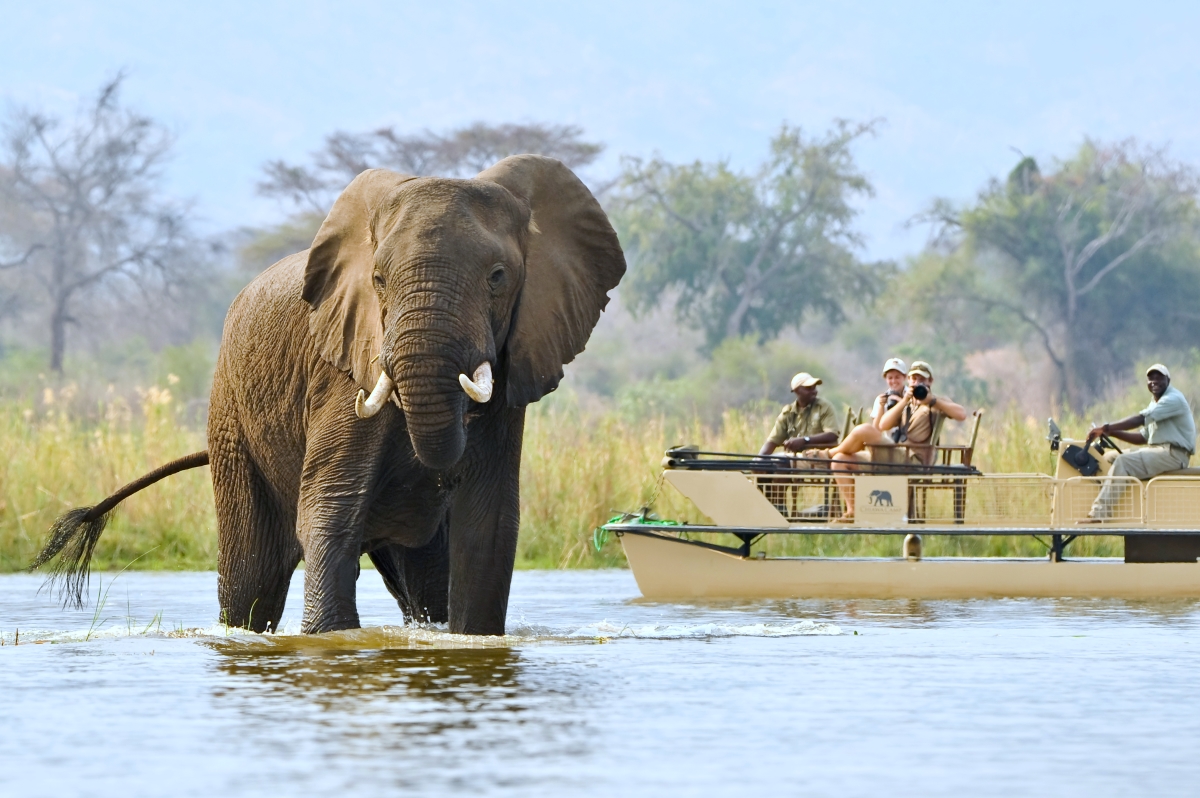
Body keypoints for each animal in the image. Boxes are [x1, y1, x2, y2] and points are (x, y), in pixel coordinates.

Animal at [30, 152, 628, 633]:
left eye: (499, 277)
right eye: (379, 280)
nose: (441, 473)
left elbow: (489, 523)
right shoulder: (340, 375)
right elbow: (330, 508)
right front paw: (330, 641)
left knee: (422, 579)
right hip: (231, 417)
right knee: (252, 576)